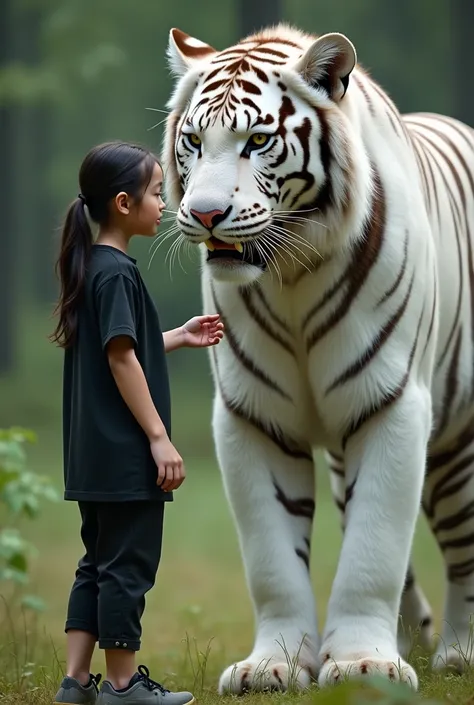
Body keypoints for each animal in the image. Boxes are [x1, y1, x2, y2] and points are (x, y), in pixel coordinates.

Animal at [161, 22, 474, 692]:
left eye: (257, 140)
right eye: (194, 140)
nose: (204, 214)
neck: (291, 273)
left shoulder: (393, 405)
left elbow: (374, 547)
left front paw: (363, 665)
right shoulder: (252, 416)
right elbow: (272, 559)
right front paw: (273, 665)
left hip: (457, 445)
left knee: (463, 547)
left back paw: (458, 652)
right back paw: (414, 637)